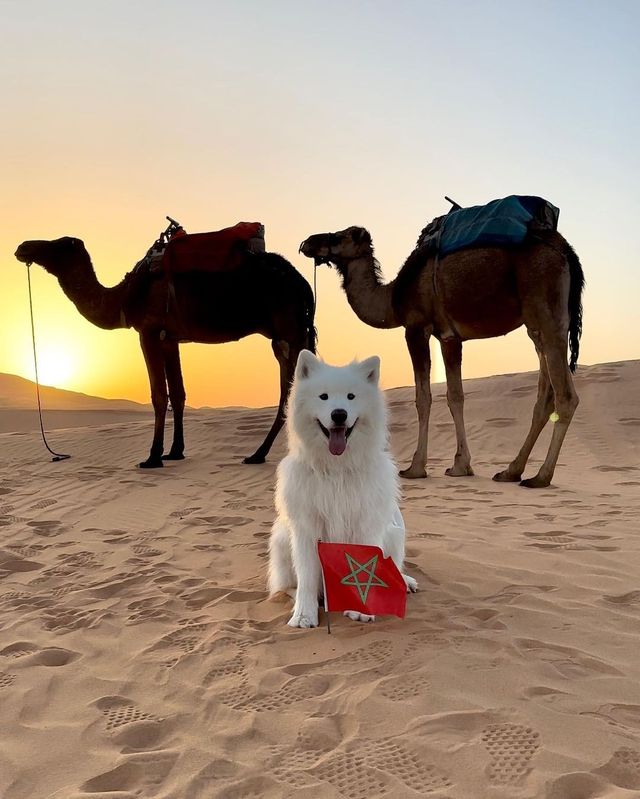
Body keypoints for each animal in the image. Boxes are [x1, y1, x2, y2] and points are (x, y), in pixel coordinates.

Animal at [15, 234, 316, 468]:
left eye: (59, 244)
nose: (23, 247)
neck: (124, 296)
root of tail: (303, 284)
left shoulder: (147, 332)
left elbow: (159, 394)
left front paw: (153, 456)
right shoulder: (170, 339)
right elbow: (178, 393)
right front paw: (175, 452)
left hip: (288, 332)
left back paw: (261, 454)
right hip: (289, 335)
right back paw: (263, 453)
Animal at [268, 354, 418, 628]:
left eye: (351, 396)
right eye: (323, 396)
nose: (339, 414)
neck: (336, 469)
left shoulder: (366, 524)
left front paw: (361, 609)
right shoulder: (306, 529)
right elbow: (306, 577)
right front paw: (304, 615)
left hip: (394, 532)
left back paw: (404, 581)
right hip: (282, 538)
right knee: (286, 585)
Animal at [300, 225, 584, 488]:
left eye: (339, 236)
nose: (307, 242)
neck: (394, 297)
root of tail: (566, 251)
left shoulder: (416, 328)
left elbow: (423, 398)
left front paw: (415, 467)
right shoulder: (449, 338)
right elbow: (455, 396)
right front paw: (461, 465)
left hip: (547, 309)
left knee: (566, 396)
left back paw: (541, 476)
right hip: (537, 326)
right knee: (544, 397)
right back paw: (511, 471)